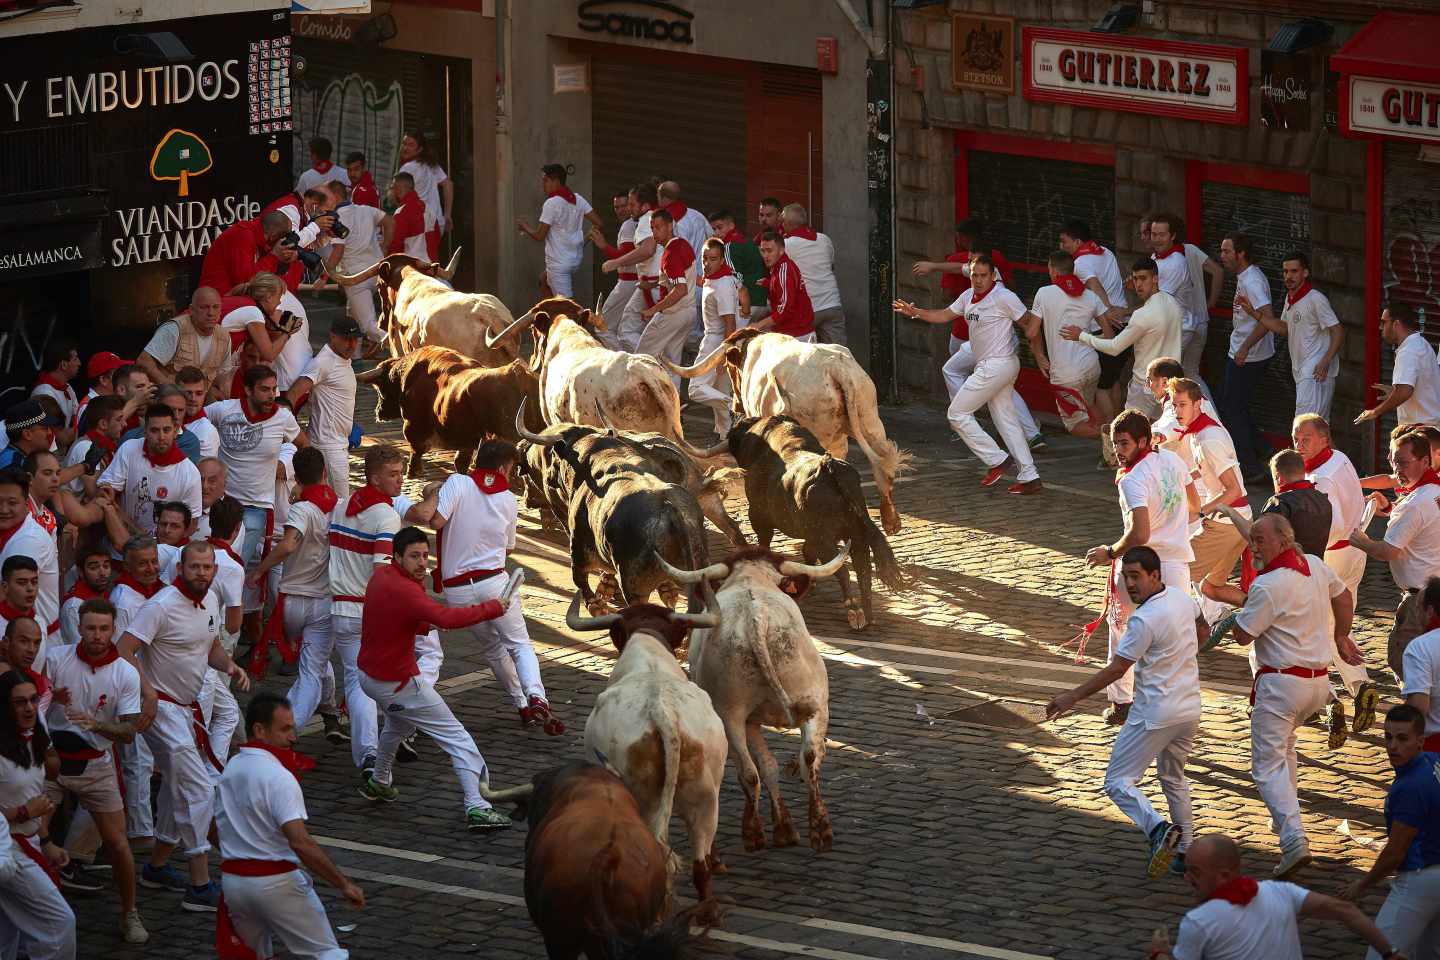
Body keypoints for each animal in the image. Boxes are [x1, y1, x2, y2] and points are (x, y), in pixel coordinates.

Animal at [357, 346, 541, 477]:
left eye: (380, 388)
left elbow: (416, 448)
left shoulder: (412, 424)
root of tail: (516, 373)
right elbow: (460, 461)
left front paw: (413, 471)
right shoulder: (468, 438)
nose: (379, 411)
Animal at [659, 544, 846, 852]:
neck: (751, 580)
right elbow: (771, 766)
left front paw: (779, 827)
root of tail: (757, 616)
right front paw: (784, 828)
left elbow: (762, 768)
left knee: (748, 772)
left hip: (730, 716)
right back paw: (821, 830)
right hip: (815, 704)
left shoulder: (746, 722)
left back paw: (753, 833)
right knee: (809, 759)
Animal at [665, 332, 910, 538]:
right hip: (869, 420)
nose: (735, 405)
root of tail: (835, 369)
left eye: (728, 366)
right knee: (882, 467)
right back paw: (891, 521)